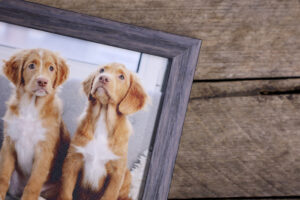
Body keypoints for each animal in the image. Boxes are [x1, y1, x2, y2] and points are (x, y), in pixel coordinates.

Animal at [0, 48, 70, 200]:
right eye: (31, 66)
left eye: (51, 68)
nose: (42, 81)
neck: (31, 108)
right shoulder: (9, 143)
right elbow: (3, 175)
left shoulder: (44, 151)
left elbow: (33, 184)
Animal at [58, 63, 148, 200]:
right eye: (102, 70)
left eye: (121, 76)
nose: (103, 78)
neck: (103, 119)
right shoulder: (72, 160)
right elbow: (65, 192)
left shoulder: (117, 172)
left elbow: (109, 195)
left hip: (127, 175)